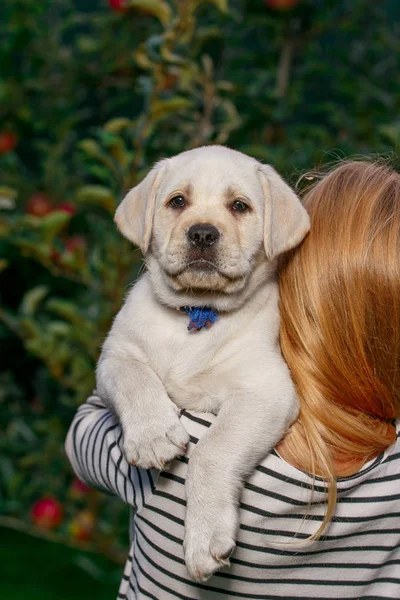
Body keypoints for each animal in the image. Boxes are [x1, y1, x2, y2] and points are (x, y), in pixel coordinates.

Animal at [97, 145, 310, 580]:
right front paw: (153, 436)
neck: (196, 313)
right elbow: (134, 377)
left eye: (240, 206)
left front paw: (204, 536)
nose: (202, 234)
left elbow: (212, 450)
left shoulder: (266, 392)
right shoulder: (114, 356)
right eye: (178, 201)